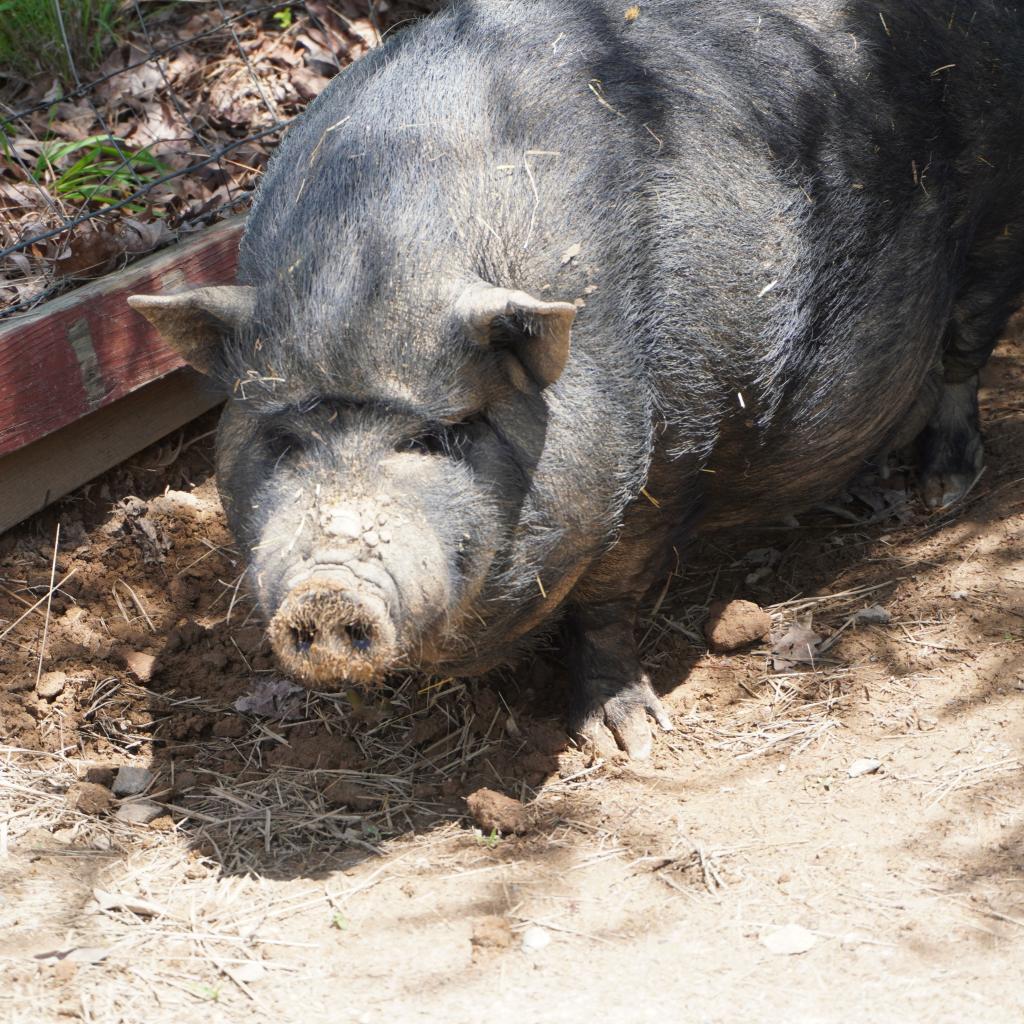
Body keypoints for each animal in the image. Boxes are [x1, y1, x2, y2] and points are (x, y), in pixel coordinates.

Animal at [129, 1, 1024, 757]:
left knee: (965, 349)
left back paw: (940, 492)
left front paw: (629, 744)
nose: (326, 590)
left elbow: (608, 604)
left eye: (440, 435)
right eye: (285, 436)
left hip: (995, 224)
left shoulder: (673, 449)